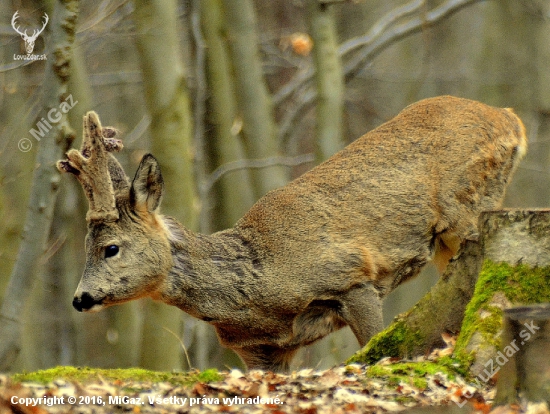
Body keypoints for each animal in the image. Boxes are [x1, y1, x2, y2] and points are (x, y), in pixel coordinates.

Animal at [58, 97, 528, 372]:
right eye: (85, 246)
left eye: (111, 248)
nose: (79, 299)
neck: (258, 285)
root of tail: (510, 118)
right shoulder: (263, 349)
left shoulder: (352, 278)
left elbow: (372, 347)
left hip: (469, 206)